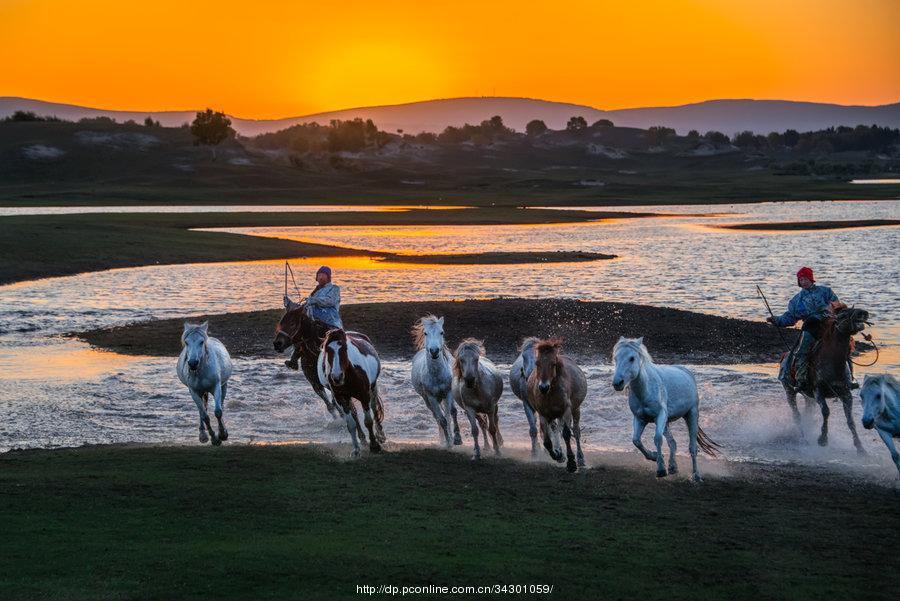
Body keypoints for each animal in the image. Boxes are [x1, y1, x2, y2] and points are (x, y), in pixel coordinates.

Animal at [318, 326, 384, 458]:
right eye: (327, 349)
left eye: (344, 348)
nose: (337, 377)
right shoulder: (342, 399)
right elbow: (351, 424)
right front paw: (356, 450)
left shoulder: (364, 396)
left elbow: (368, 421)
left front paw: (374, 446)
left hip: (373, 388)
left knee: (374, 408)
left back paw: (380, 435)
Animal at [412, 314, 460, 446]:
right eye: (425, 333)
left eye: (441, 332)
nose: (434, 351)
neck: (437, 375)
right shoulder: (431, 397)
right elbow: (441, 419)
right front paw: (448, 443)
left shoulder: (448, 392)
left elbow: (452, 412)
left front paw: (457, 439)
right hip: (428, 400)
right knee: (437, 417)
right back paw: (443, 439)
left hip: (443, 397)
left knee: (447, 414)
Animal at [528, 340, 592, 472]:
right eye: (537, 363)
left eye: (553, 364)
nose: (543, 387)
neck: (550, 394)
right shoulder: (543, 414)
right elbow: (547, 442)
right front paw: (558, 455)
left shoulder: (566, 410)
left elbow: (567, 434)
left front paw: (571, 463)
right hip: (554, 415)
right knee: (556, 428)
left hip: (575, 410)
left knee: (576, 431)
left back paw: (580, 459)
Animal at [608, 336, 720, 480]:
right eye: (615, 358)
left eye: (632, 358)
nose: (617, 383)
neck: (645, 390)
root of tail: (687, 372)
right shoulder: (640, 419)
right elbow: (636, 440)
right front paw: (654, 456)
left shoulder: (660, 415)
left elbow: (657, 438)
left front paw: (661, 468)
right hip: (666, 422)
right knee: (673, 442)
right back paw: (673, 467)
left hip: (692, 414)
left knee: (693, 447)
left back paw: (696, 476)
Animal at [780, 304, 872, 450]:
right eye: (843, 314)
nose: (863, 313)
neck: (832, 362)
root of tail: (784, 357)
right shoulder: (818, 391)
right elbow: (826, 412)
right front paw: (822, 439)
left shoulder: (846, 394)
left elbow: (850, 420)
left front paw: (860, 448)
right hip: (789, 391)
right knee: (797, 415)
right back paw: (803, 439)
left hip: (808, 396)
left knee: (807, 411)